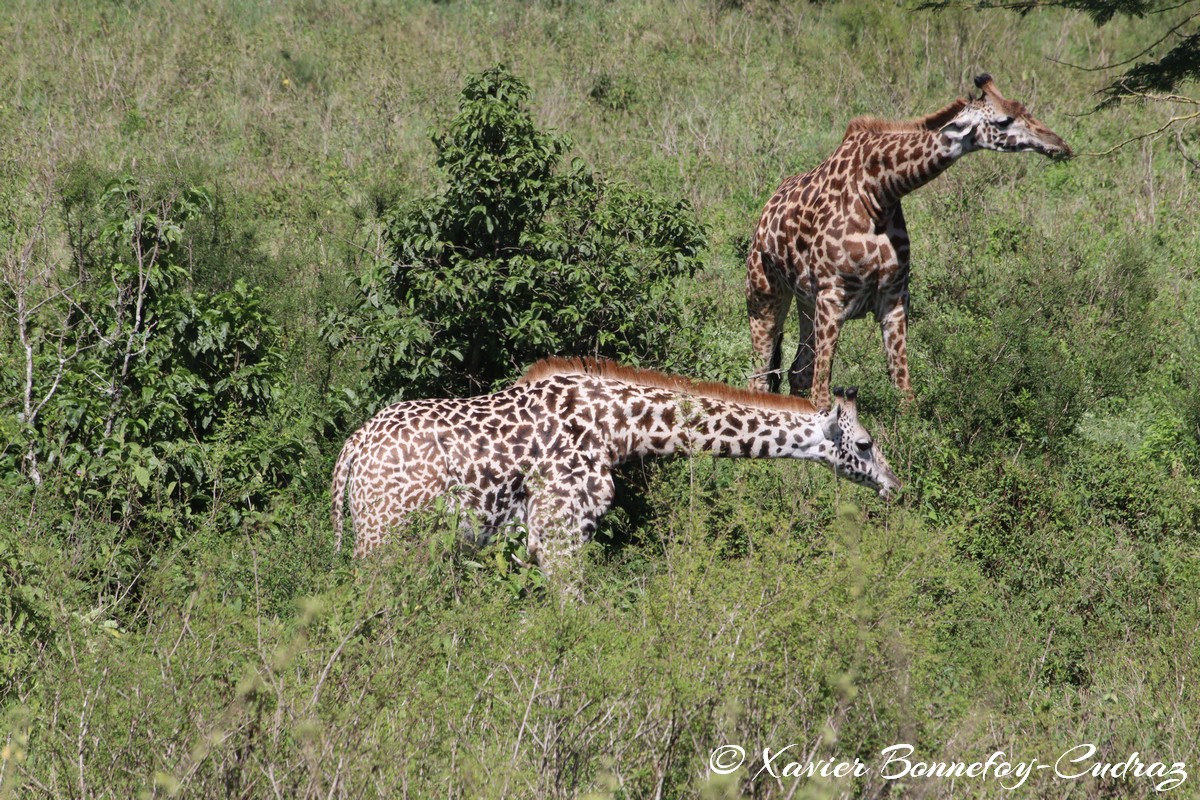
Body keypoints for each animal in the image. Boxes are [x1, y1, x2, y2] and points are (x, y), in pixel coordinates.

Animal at [333, 359, 897, 585]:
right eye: (865, 444)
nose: (895, 487)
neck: (620, 428)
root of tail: (352, 447)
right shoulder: (559, 530)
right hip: (383, 537)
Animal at [744, 74, 1075, 410]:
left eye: (1024, 108)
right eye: (1004, 120)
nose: (1060, 145)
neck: (879, 194)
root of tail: (765, 213)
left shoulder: (894, 299)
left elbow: (905, 394)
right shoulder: (832, 297)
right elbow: (822, 394)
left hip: (805, 301)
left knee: (798, 370)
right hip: (764, 296)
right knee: (761, 376)